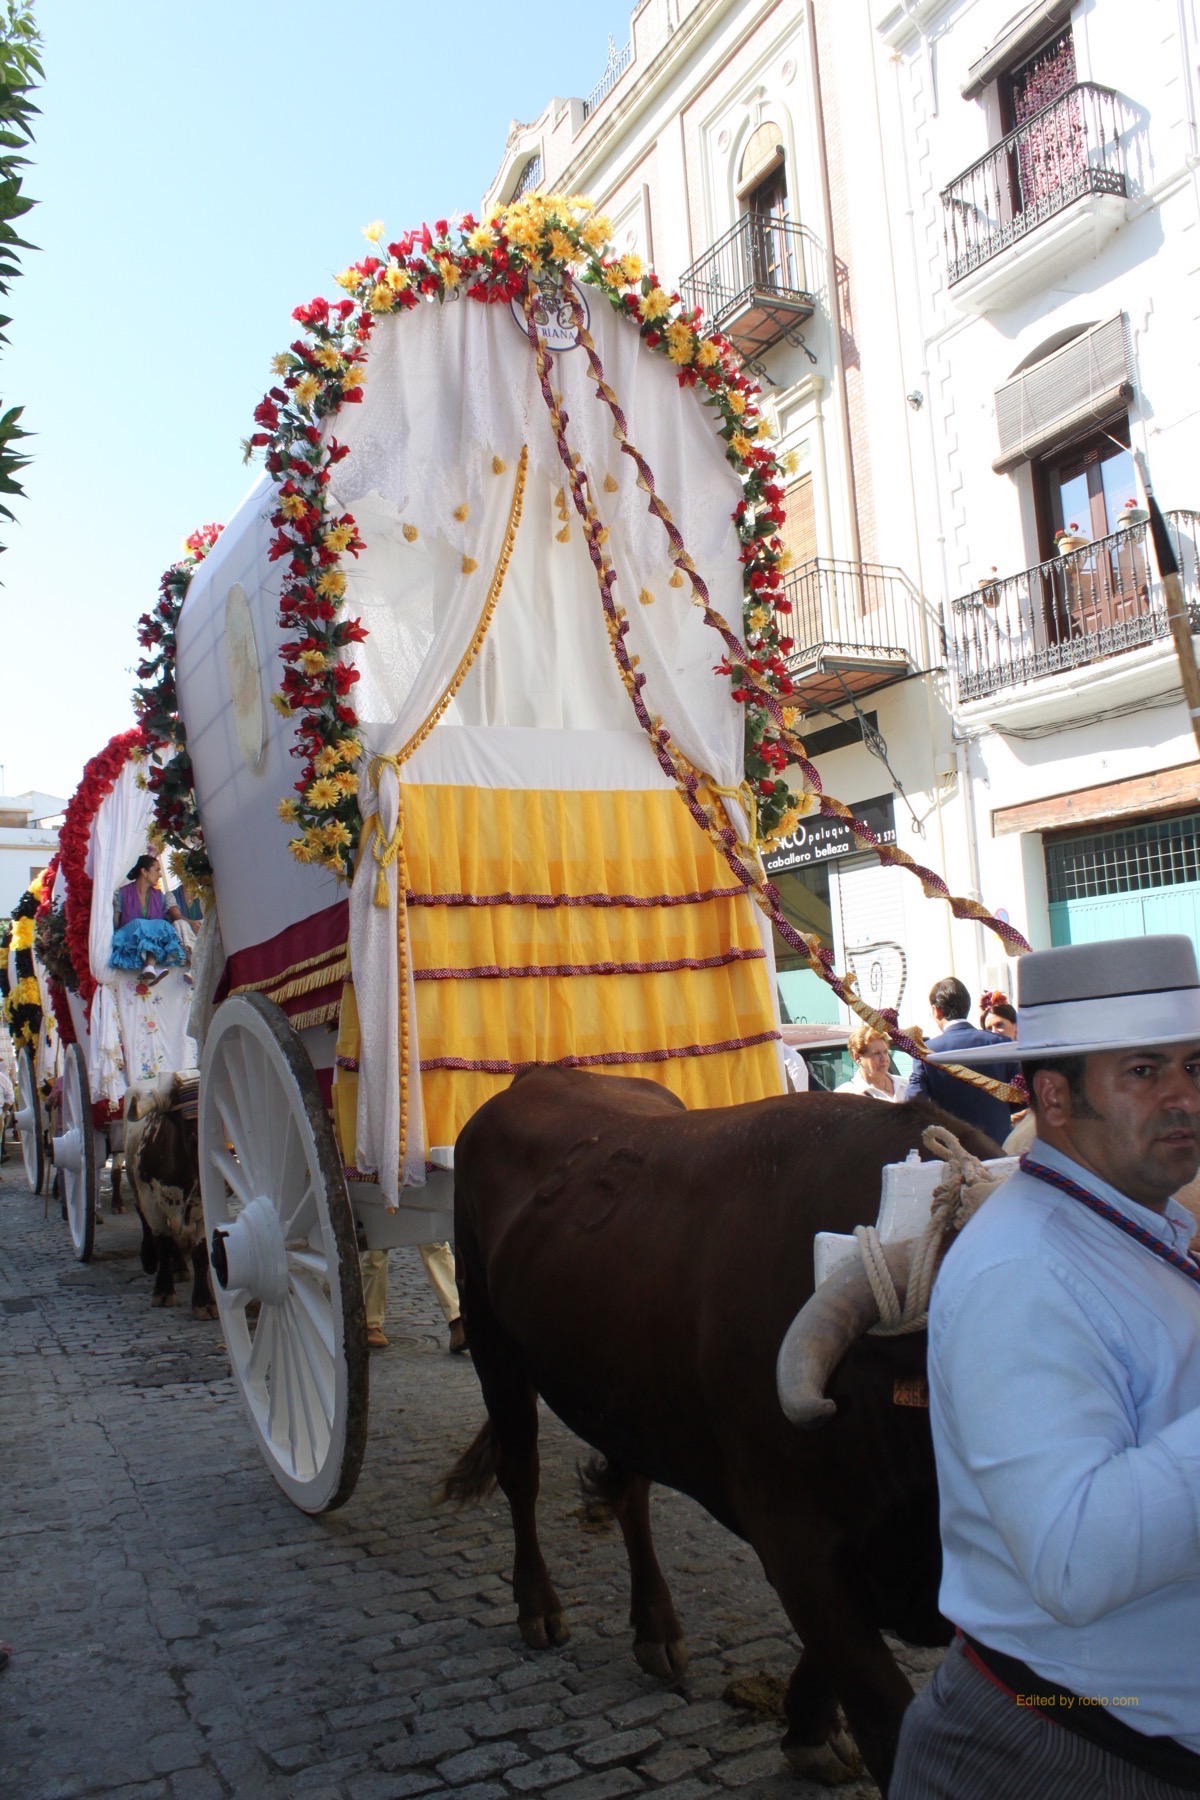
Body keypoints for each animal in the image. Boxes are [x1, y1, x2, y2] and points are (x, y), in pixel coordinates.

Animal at [123, 1074, 217, 1319]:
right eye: (192, 1135)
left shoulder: (200, 1208)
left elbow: (201, 1252)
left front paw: (204, 1302)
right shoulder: (151, 1201)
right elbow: (163, 1243)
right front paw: (163, 1291)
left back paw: (180, 1267)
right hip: (137, 1188)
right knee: (143, 1218)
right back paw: (150, 1259)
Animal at [443, 1065, 1000, 1793]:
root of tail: (544, 1074)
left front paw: (807, 1729)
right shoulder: (794, 1530)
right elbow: (883, 1716)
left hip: (622, 1385)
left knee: (629, 1492)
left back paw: (655, 1628)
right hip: (491, 1338)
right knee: (521, 1473)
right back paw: (538, 1606)